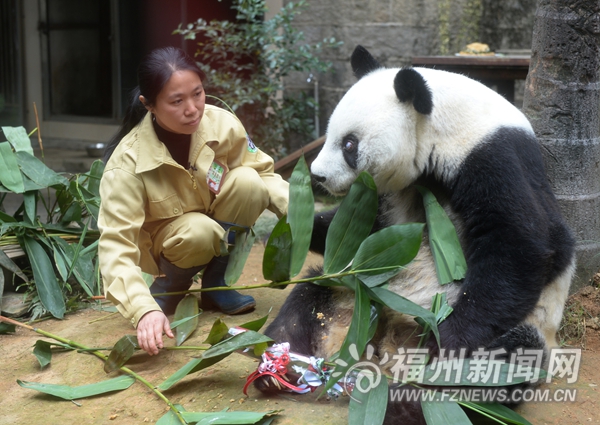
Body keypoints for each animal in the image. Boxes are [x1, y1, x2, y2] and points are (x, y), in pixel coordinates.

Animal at [258, 44, 576, 422]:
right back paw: (278, 364)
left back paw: (403, 397)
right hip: (353, 290)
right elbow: (357, 232)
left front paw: (446, 341)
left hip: (530, 327)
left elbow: (521, 246)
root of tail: (388, 344)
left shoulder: (493, 157)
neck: (445, 125)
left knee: (496, 366)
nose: (318, 176)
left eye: (349, 144)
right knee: (308, 296)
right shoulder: (386, 195)